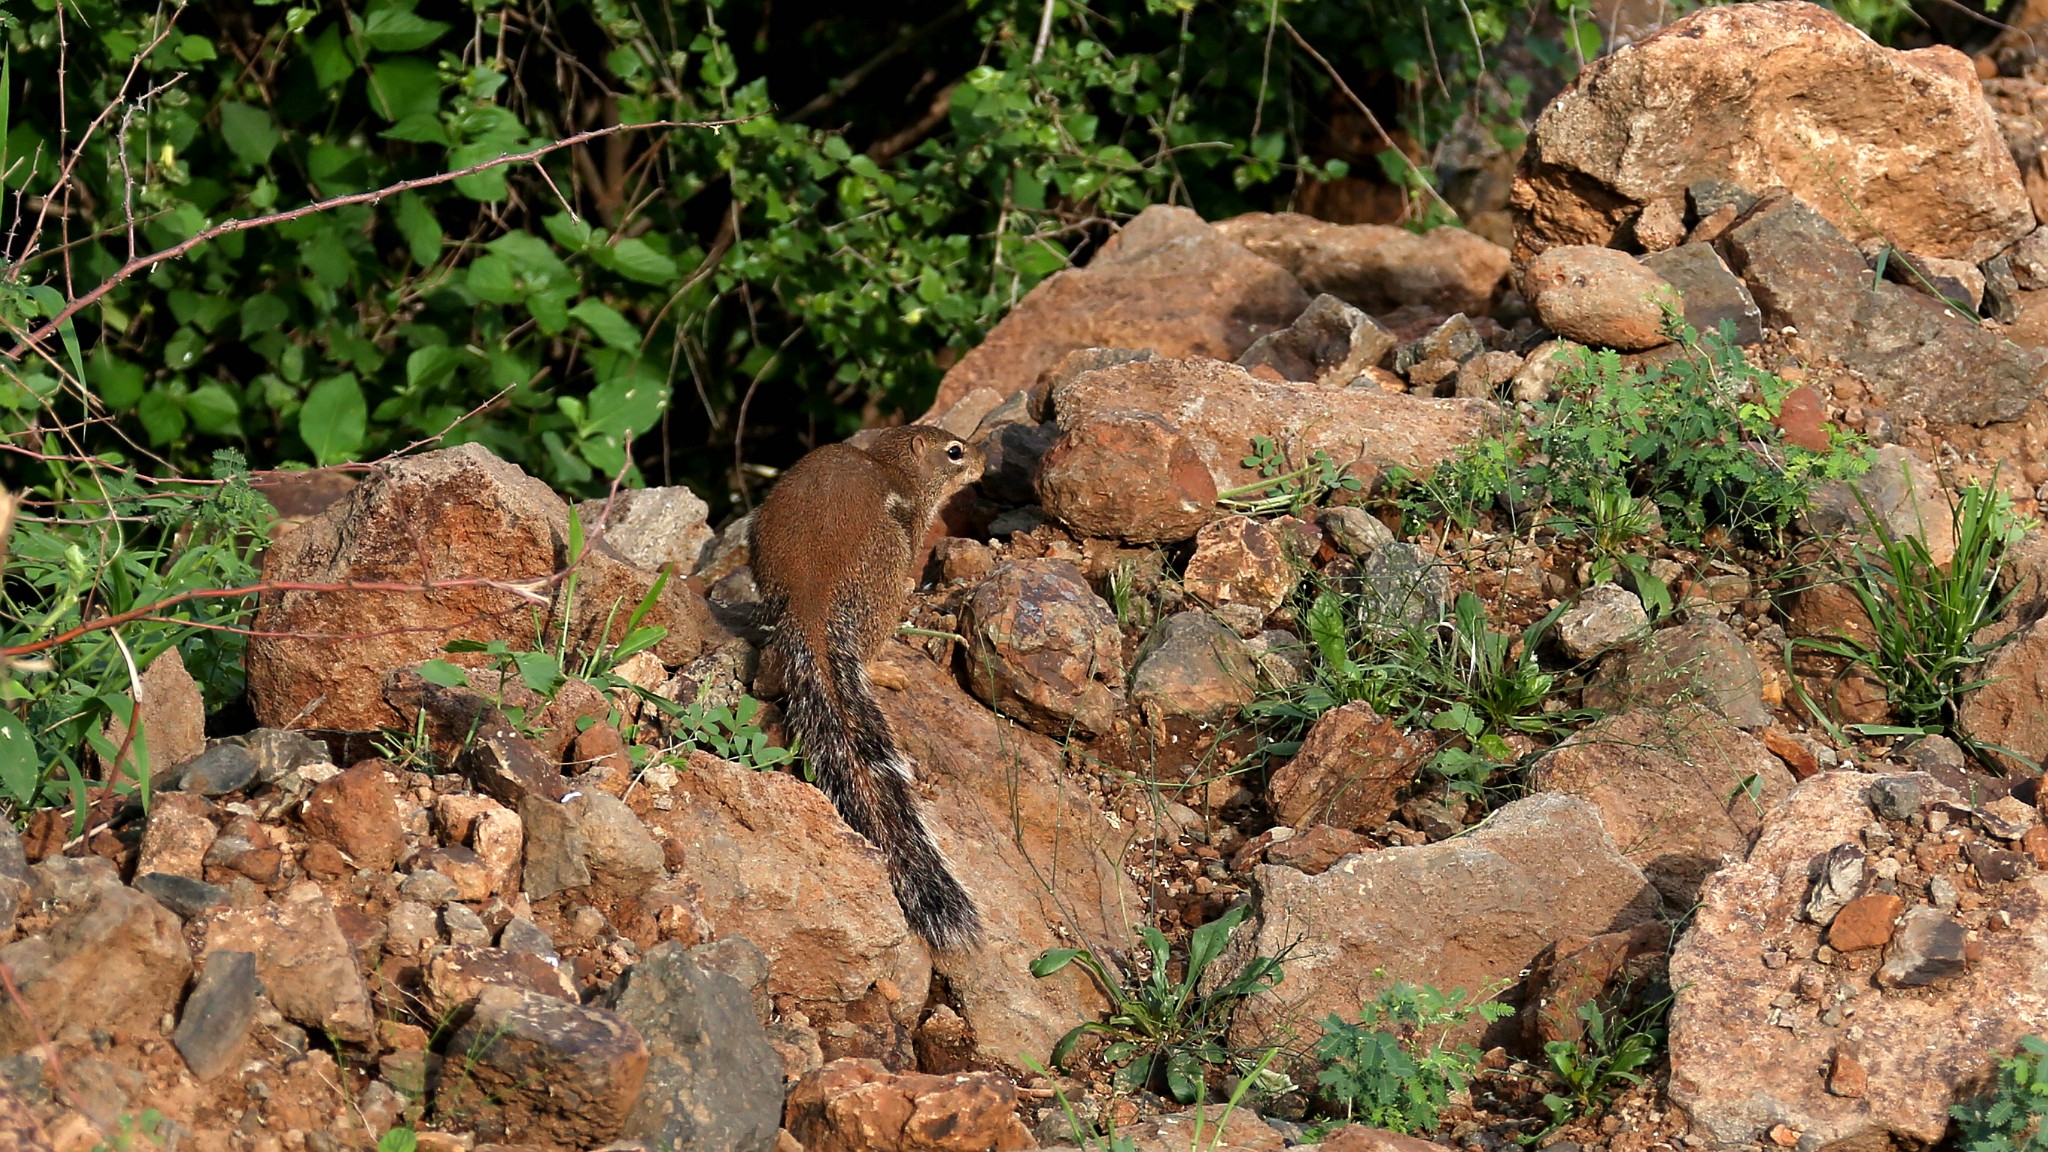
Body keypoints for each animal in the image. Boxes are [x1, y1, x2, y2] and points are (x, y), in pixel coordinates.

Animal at [749, 426, 987, 947]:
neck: (891, 462)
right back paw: (885, 671)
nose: (983, 462)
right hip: (886, 582)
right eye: (955, 451)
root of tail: (810, 595)